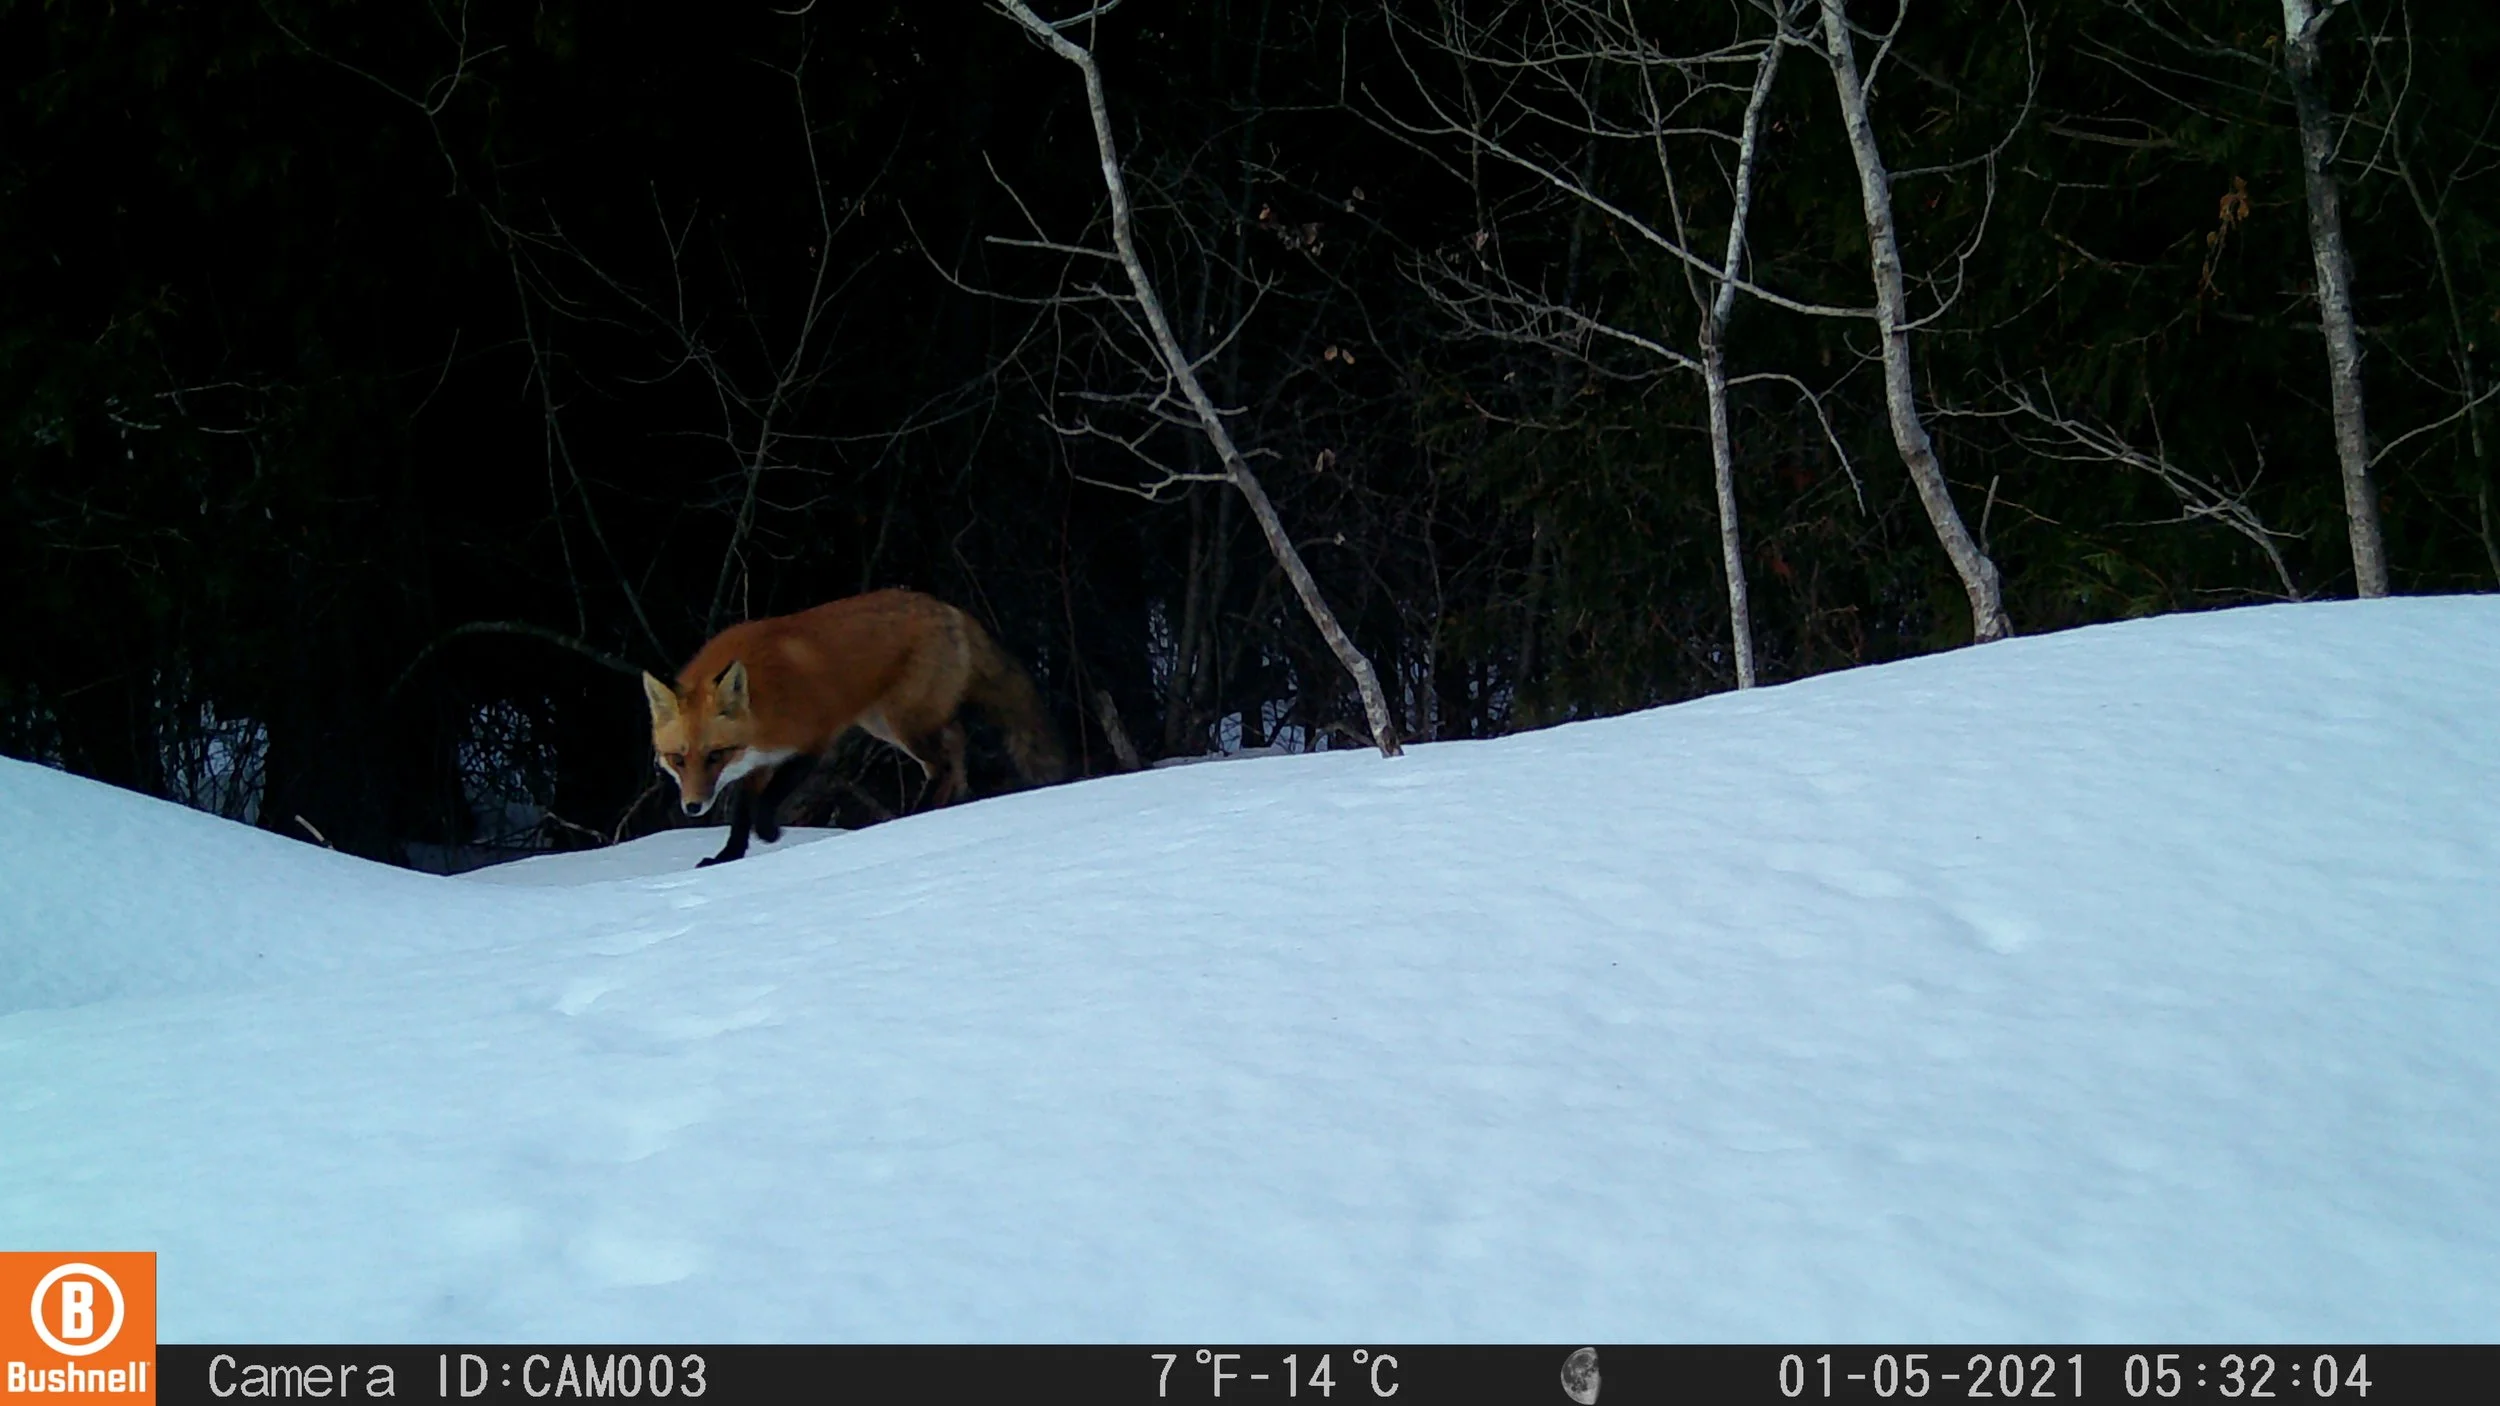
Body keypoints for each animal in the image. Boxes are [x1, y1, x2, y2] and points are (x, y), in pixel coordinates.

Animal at [642, 589, 1067, 867]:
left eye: (715, 756)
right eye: (678, 759)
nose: (692, 807)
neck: (763, 705)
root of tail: (948, 608)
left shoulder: (814, 740)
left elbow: (768, 799)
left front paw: (769, 833)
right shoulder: (757, 760)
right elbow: (742, 810)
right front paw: (727, 856)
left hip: (901, 722)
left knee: (943, 764)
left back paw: (916, 814)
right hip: (887, 725)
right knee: (955, 747)